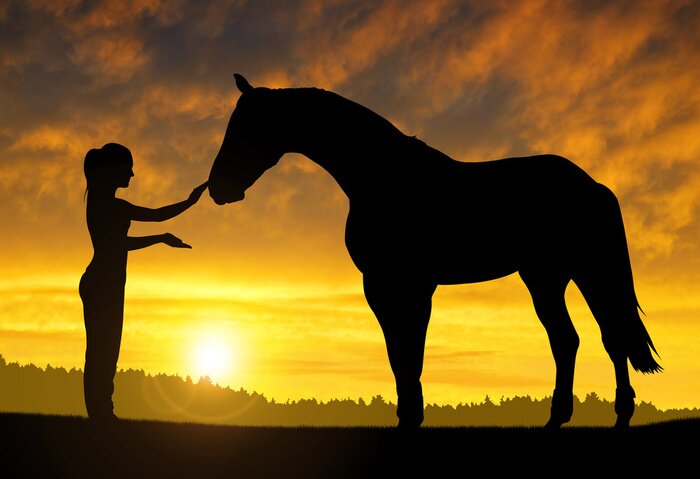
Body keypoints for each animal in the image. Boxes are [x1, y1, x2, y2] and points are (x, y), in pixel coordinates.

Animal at [208, 73, 661, 429]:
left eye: (245, 128)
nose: (217, 189)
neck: (382, 177)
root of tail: (593, 185)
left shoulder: (405, 286)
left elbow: (409, 352)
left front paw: (411, 417)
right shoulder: (389, 287)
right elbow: (400, 354)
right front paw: (409, 415)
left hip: (573, 274)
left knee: (598, 337)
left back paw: (597, 416)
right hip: (554, 277)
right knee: (583, 339)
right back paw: (579, 417)